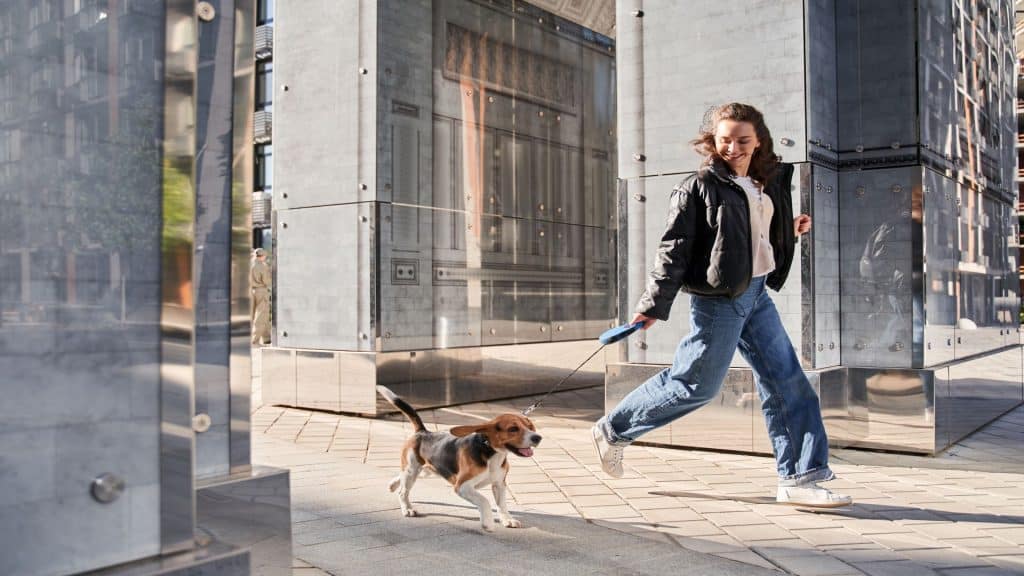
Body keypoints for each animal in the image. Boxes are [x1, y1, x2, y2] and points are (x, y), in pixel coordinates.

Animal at [378, 385, 544, 528]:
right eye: (513, 429)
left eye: (529, 427)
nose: (538, 437)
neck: (492, 453)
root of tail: (423, 432)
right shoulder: (462, 486)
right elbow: (484, 500)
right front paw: (488, 523)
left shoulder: (499, 484)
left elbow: (502, 504)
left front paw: (507, 519)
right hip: (412, 471)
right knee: (403, 492)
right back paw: (407, 509)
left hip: (424, 470)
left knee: (401, 477)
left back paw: (392, 485)